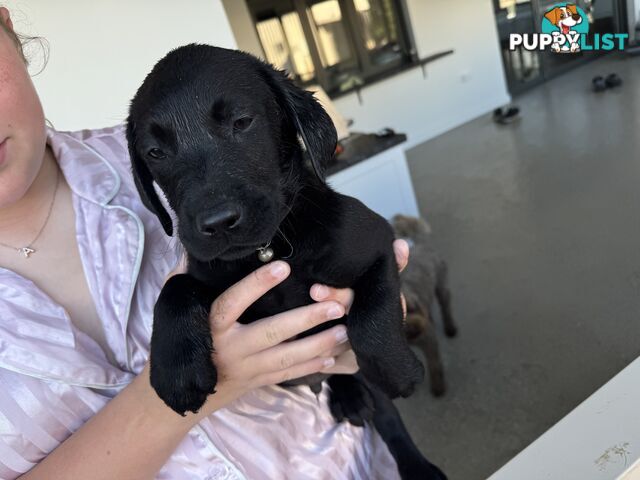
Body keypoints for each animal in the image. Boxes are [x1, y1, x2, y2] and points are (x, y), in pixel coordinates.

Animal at [125, 45, 444, 480]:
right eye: (155, 153)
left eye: (242, 122)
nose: (217, 222)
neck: (269, 249)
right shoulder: (209, 274)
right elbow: (174, 288)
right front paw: (177, 371)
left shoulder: (379, 242)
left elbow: (370, 322)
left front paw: (399, 372)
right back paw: (349, 395)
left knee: (389, 419)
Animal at [390, 216, 456, 396]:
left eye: (412, 309)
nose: (415, 326)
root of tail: (419, 244)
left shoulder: (429, 342)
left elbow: (434, 365)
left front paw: (438, 388)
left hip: (442, 284)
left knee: (445, 305)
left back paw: (450, 327)